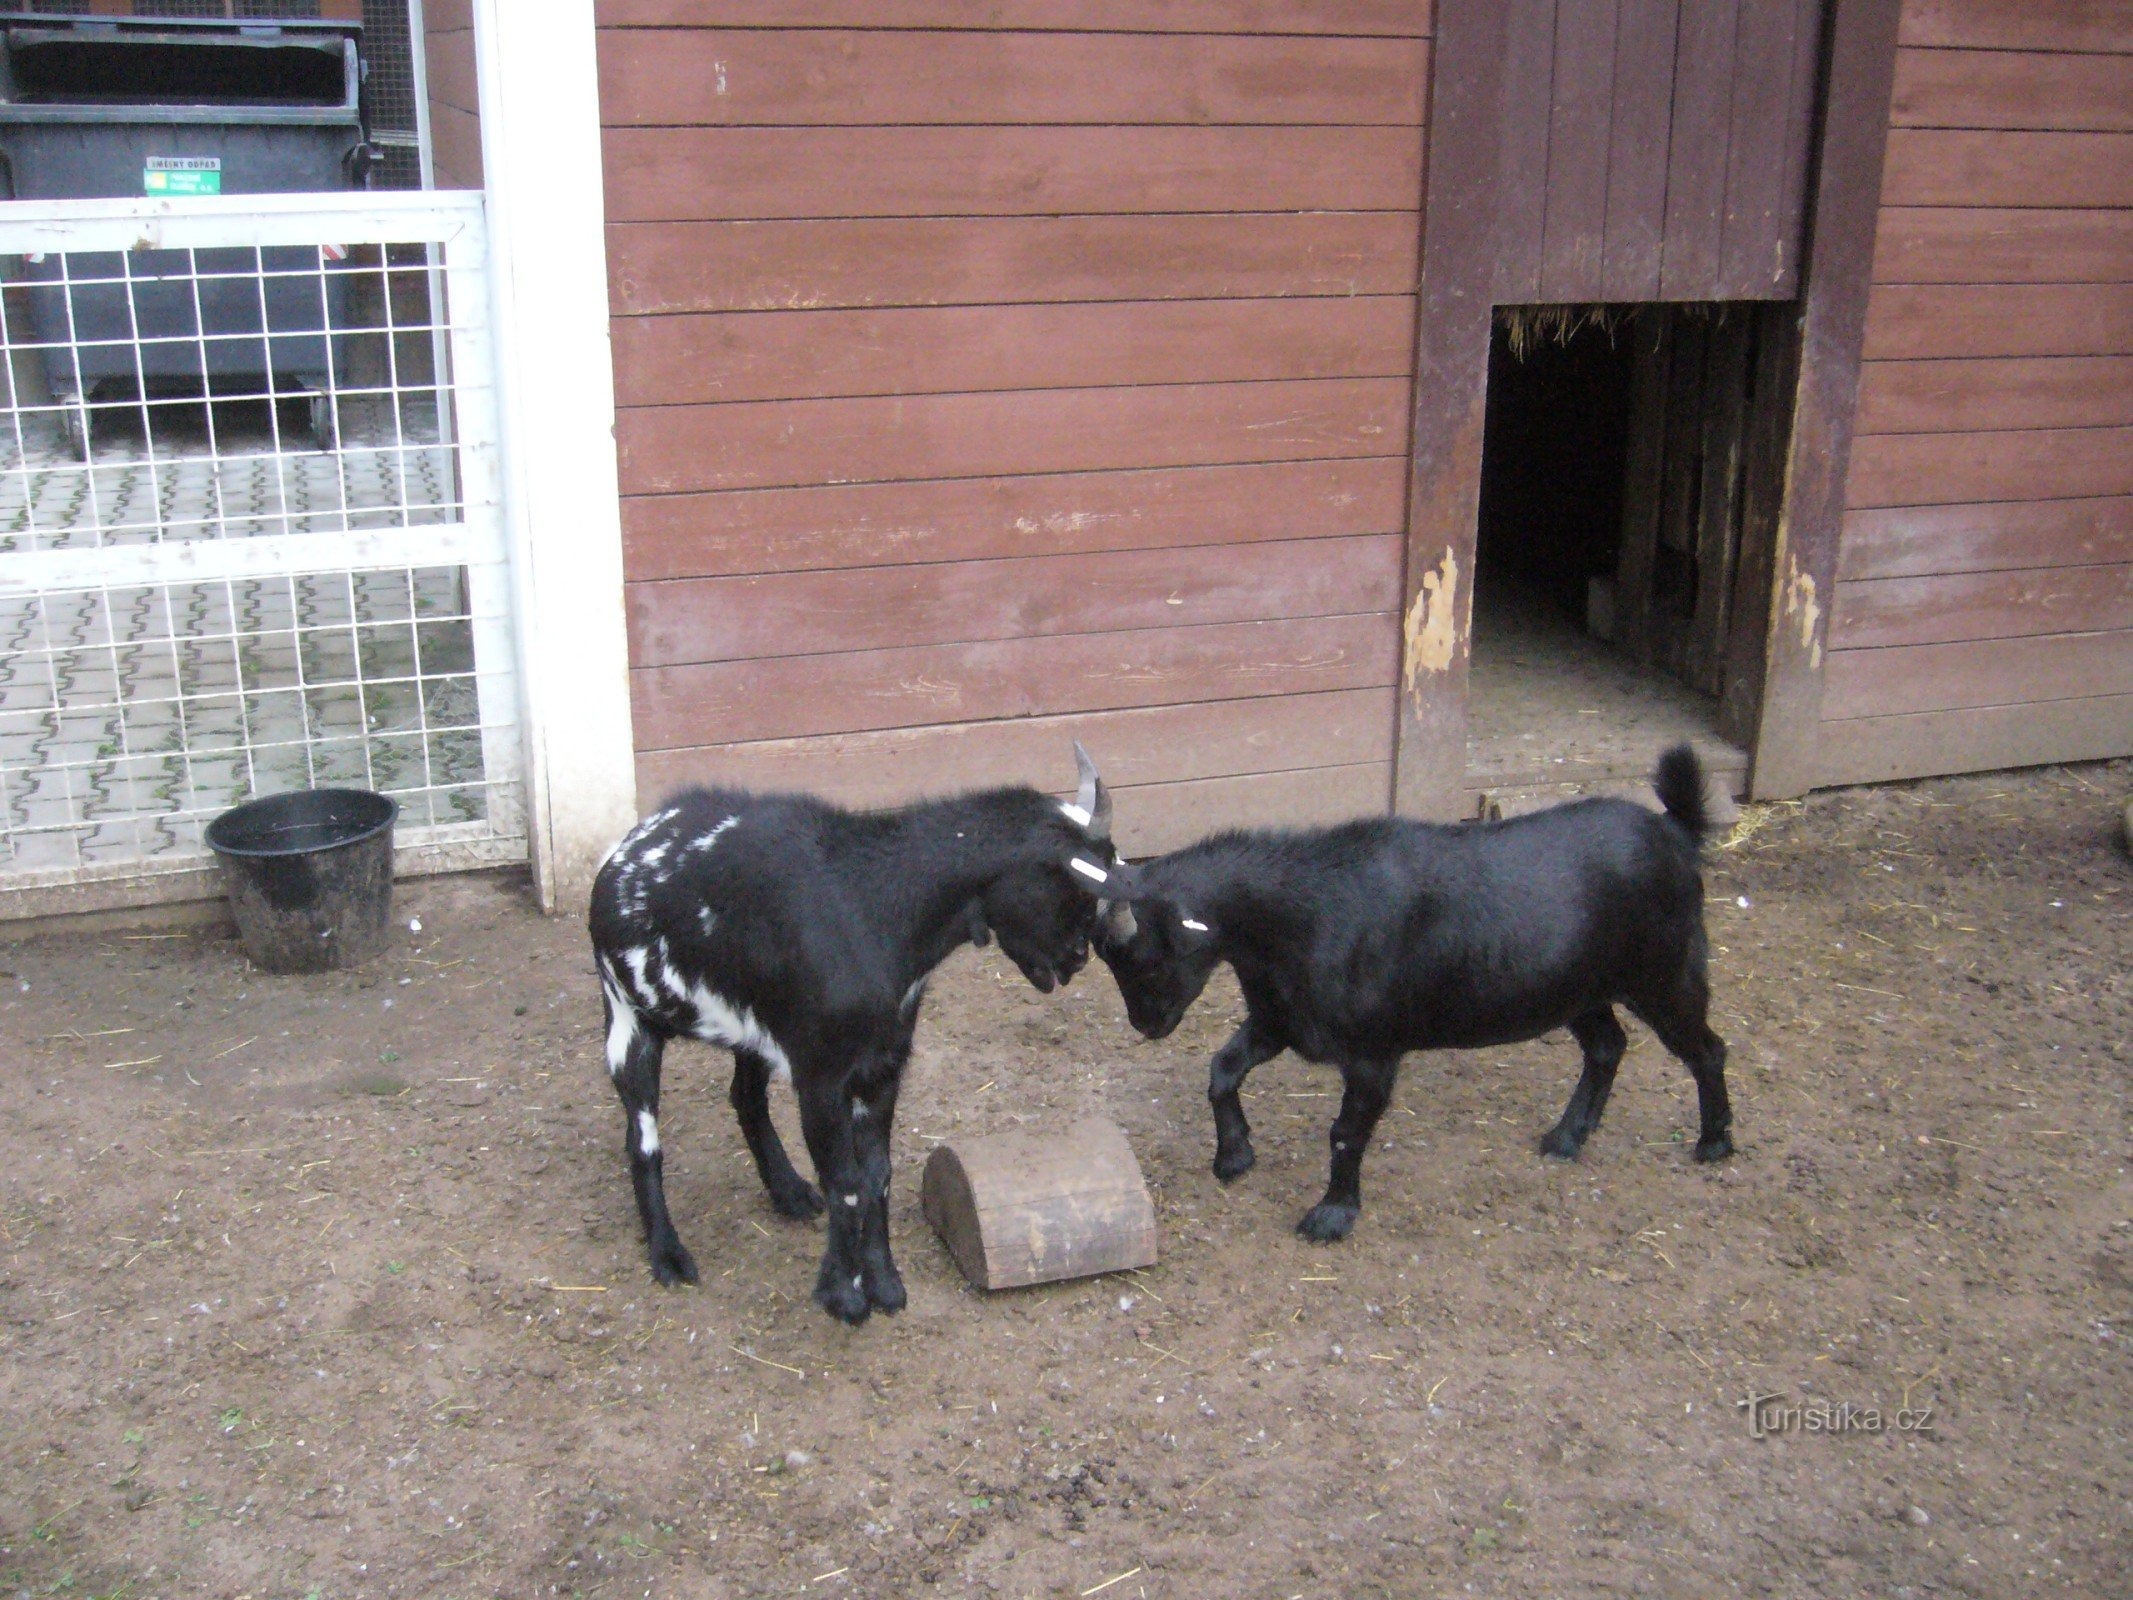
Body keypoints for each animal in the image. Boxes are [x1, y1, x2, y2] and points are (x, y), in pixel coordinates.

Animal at [584, 750, 1117, 1331]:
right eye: (1074, 891)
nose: (1077, 960)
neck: (876, 906)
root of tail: (629, 847)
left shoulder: (883, 1066)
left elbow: (876, 1173)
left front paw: (884, 1283)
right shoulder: (822, 1073)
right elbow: (845, 1179)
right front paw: (842, 1294)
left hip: (751, 1030)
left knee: (745, 1098)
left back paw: (789, 1192)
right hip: (627, 1016)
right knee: (643, 1140)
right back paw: (668, 1255)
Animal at [1100, 746, 1731, 1245]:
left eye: (1146, 957)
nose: (1144, 1025)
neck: (1296, 919)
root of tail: (1675, 832)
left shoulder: (1373, 1052)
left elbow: (1345, 1134)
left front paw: (1332, 1216)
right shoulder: (1279, 1019)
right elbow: (1223, 1069)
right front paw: (1234, 1156)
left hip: (1666, 975)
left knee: (1707, 1050)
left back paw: (1715, 1143)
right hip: (1576, 989)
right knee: (1607, 1045)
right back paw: (1569, 1136)